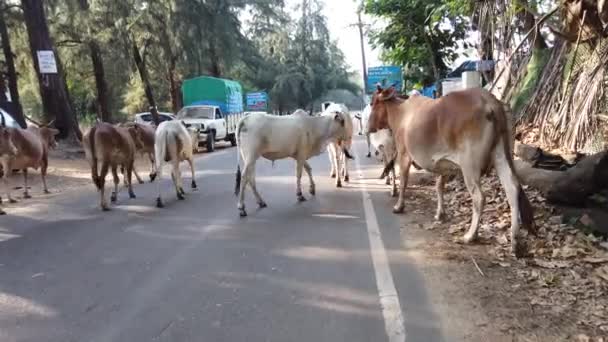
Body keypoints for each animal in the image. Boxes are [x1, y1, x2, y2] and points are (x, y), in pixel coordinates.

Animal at [368, 85, 536, 256]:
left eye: (372, 103)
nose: (368, 128)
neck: (401, 112)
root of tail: (490, 101)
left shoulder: (404, 154)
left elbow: (403, 182)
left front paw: (399, 206)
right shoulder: (444, 164)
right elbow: (439, 187)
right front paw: (440, 213)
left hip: (470, 165)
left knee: (479, 197)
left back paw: (470, 235)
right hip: (501, 153)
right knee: (512, 189)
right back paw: (515, 241)